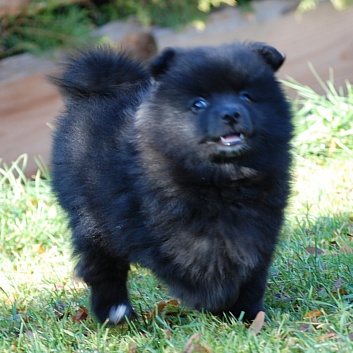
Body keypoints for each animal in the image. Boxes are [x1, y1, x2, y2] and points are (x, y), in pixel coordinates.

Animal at [49, 42, 292, 324]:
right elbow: (191, 262)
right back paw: (115, 310)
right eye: (199, 103)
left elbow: (251, 269)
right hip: (91, 216)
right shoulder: (157, 226)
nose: (231, 113)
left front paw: (247, 312)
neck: (220, 180)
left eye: (246, 96)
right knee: (101, 263)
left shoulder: (260, 223)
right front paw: (214, 299)